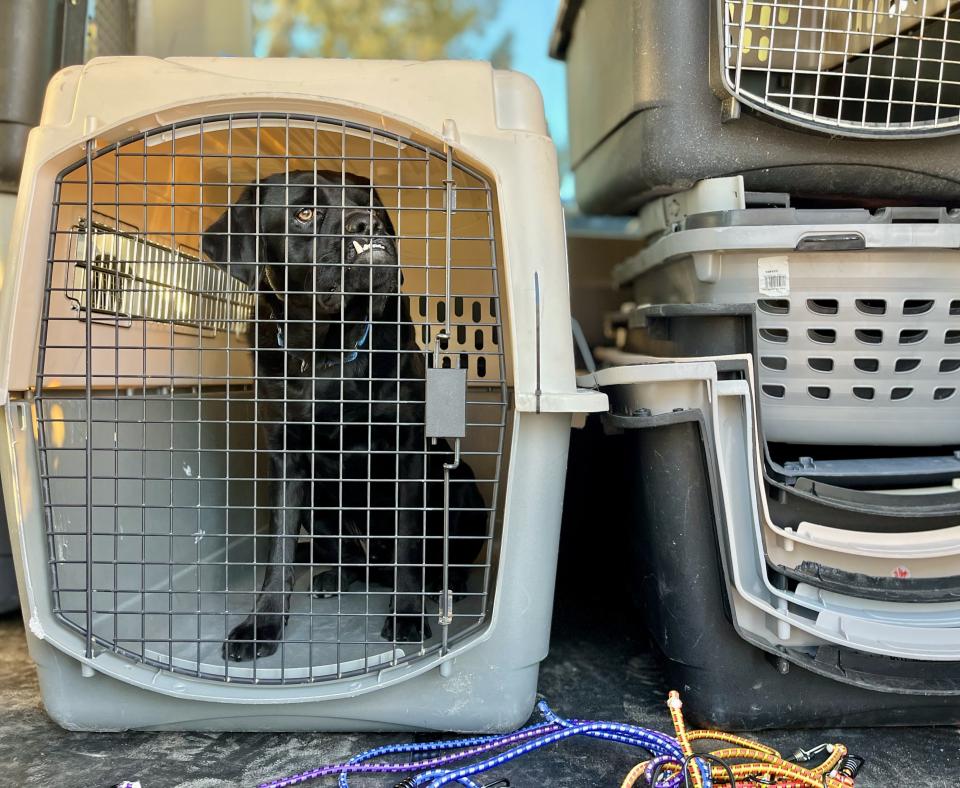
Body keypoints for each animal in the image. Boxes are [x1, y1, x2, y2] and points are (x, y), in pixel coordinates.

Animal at [202, 169, 488, 660]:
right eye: (304, 212)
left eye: (369, 205)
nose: (366, 225)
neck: (329, 350)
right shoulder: (287, 458)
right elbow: (278, 552)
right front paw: (262, 625)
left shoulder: (407, 451)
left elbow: (408, 543)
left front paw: (407, 615)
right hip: (320, 502)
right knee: (350, 557)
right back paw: (335, 575)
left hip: (462, 486)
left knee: (429, 559)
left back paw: (441, 587)